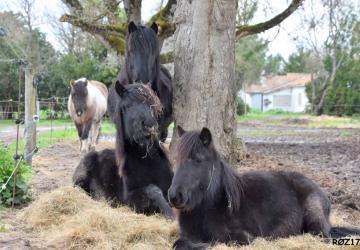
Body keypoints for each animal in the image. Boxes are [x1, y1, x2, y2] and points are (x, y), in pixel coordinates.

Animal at [73, 83, 173, 218]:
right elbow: (153, 190)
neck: (147, 163)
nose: (149, 125)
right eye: (127, 106)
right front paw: (170, 214)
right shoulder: (129, 200)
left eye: (151, 104)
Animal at [169, 127, 360, 250]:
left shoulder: (242, 237)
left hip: (315, 219)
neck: (214, 205)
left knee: (323, 237)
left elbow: (210, 242)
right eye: (176, 159)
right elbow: (180, 243)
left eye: (198, 160)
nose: (174, 196)